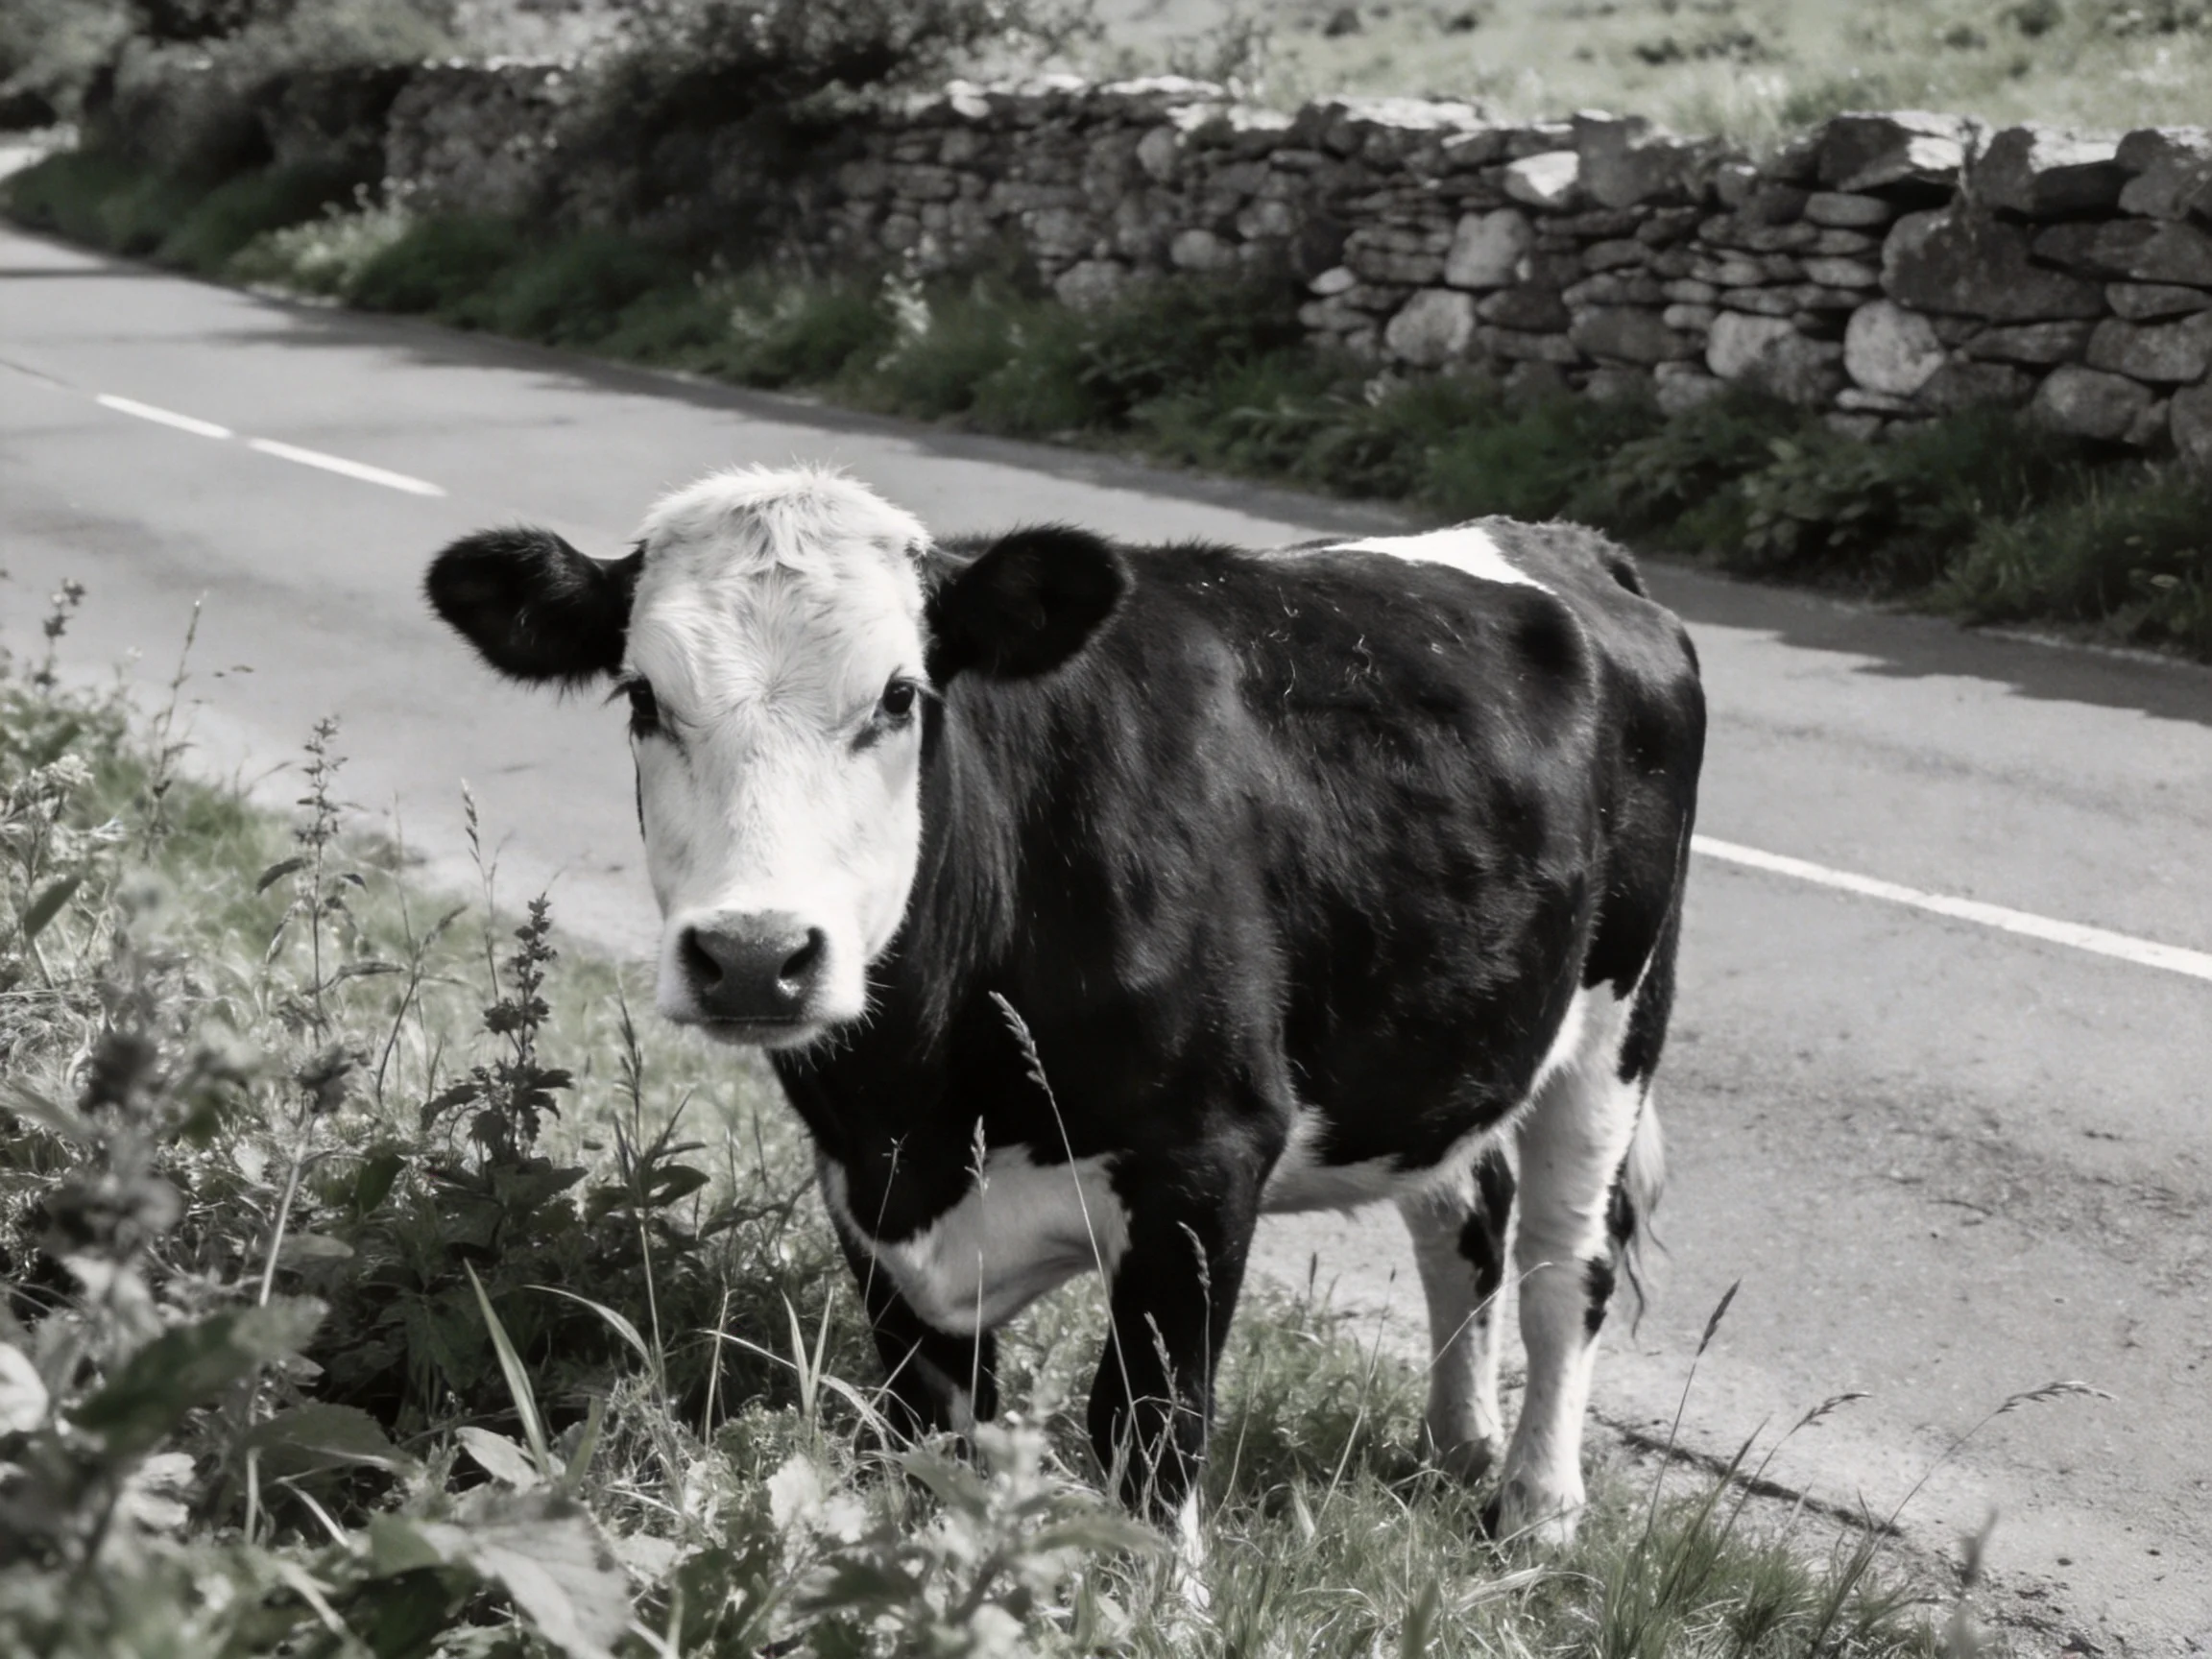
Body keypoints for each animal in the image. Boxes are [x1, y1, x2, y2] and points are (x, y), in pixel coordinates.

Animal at [424, 465, 1705, 1546]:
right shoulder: (870, 1201)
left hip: (1619, 1016)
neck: (922, 1097)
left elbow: (1148, 1427)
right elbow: (935, 1433)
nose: (752, 956)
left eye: (900, 697)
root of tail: (1561, 541)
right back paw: (1457, 1444)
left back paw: (1536, 1510)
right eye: (643, 697)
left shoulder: (1206, 1156)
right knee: (1463, 1217)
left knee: (1565, 1263)